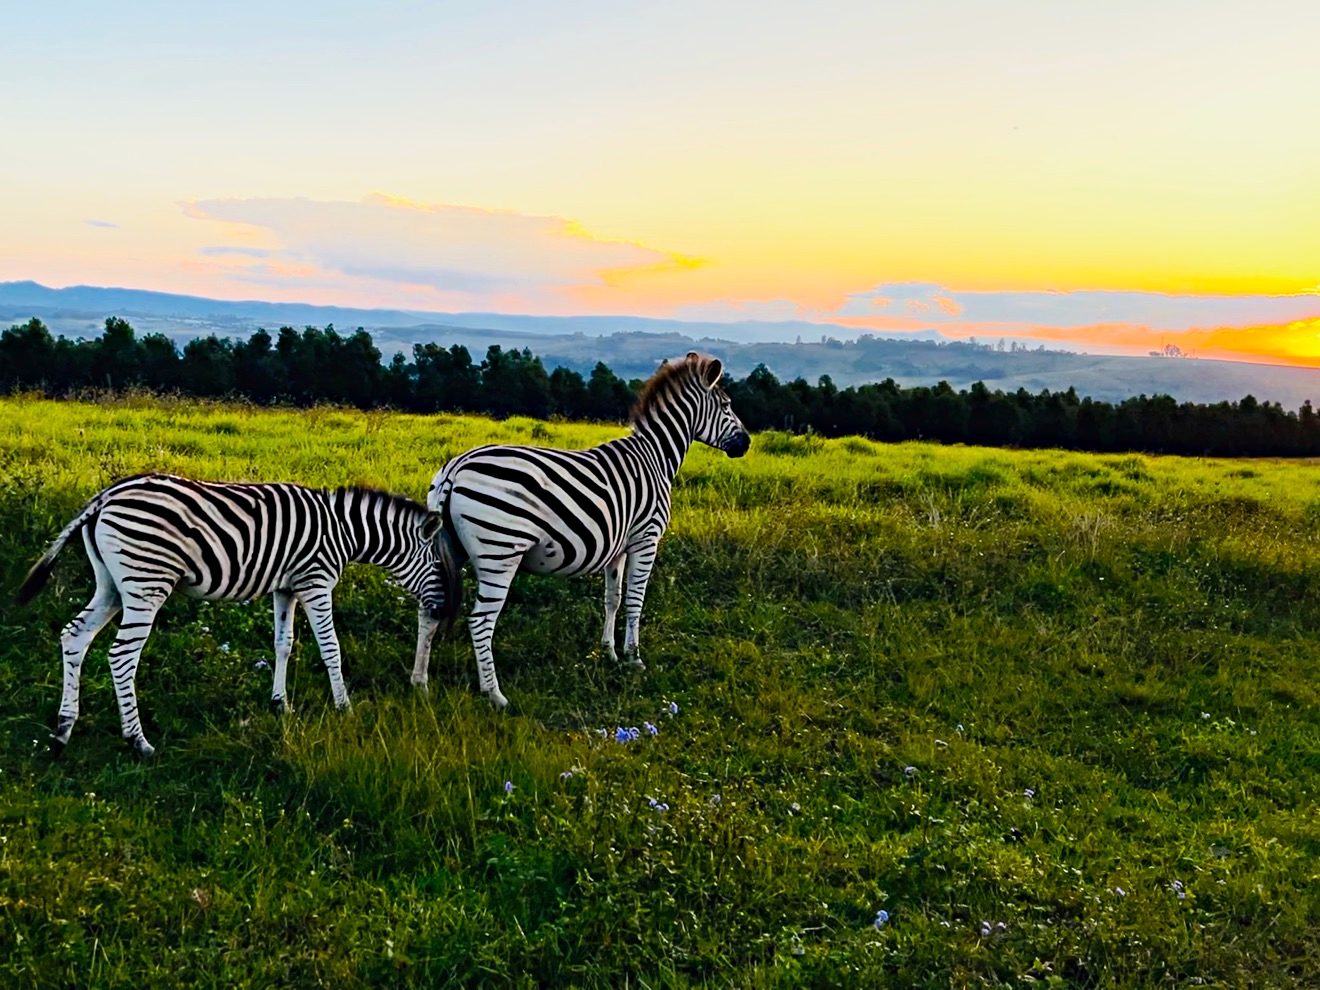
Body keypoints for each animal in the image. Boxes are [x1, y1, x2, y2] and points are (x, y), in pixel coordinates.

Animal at [17, 473, 459, 757]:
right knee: (121, 656)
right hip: (146, 582)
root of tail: (105, 497)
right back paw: (137, 742)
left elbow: (284, 644)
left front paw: (281, 705)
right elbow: (330, 648)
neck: (343, 530)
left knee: (74, 635)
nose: (441, 612)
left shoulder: (286, 586)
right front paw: (344, 707)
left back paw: (62, 731)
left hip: (111, 584)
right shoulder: (315, 582)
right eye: (440, 566)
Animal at [415, 351, 749, 709]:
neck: (655, 456)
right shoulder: (646, 539)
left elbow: (613, 599)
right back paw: (494, 694)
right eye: (727, 405)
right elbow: (635, 600)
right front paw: (634, 658)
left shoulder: (618, 547)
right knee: (480, 621)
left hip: (447, 550)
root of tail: (455, 467)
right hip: (499, 553)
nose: (747, 443)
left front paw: (610, 653)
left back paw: (420, 683)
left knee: (429, 609)